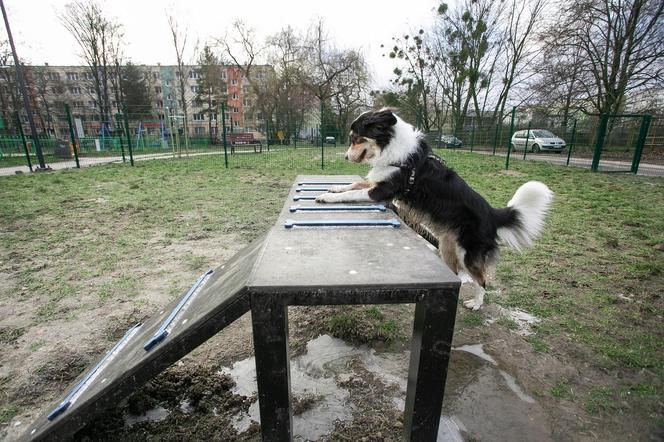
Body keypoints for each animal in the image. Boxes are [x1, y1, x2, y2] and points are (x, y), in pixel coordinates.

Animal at [314, 109, 552, 310]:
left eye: (356, 138)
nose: (346, 157)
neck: (392, 148)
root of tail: (493, 214)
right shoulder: (377, 182)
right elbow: (354, 184)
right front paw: (334, 187)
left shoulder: (381, 191)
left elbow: (351, 193)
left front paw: (327, 197)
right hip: (447, 247)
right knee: (457, 273)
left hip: (468, 253)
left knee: (482, 280)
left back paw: (476, 303)